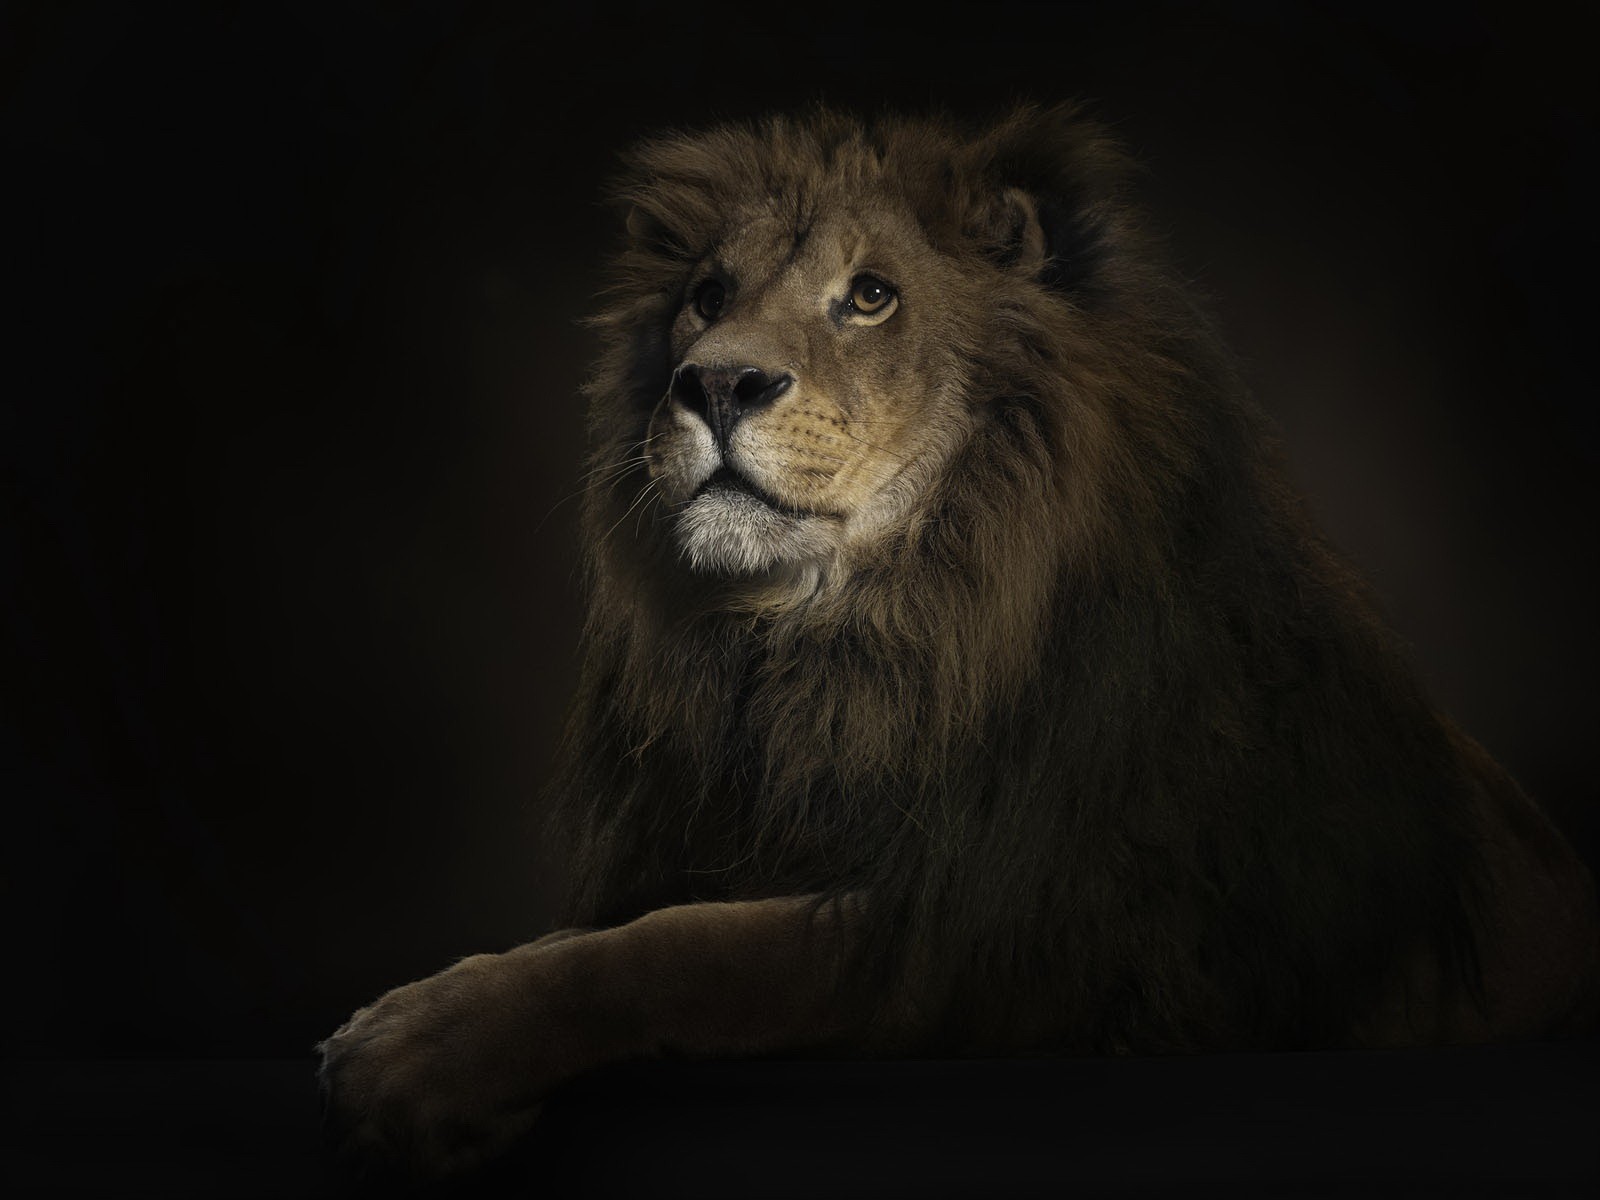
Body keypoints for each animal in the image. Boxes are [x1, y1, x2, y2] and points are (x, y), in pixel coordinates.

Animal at [318, 104, 1600, 1177]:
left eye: (870, 296)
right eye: (706, 293)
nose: (713, 383)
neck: (851, 641)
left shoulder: (1006, 933)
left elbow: (684, 949)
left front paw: (415, 1047)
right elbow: (636, 925)